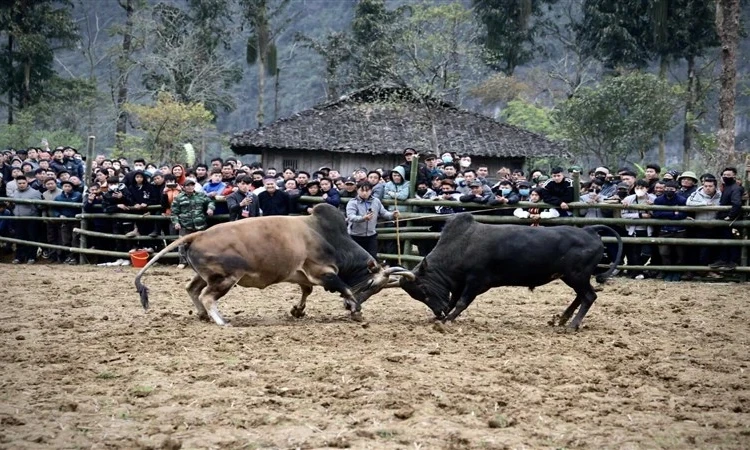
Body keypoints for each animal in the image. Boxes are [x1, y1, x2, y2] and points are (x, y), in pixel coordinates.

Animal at [134, 202, 412, 326]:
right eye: (372, 285)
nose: (349, 307)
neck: (328, 237)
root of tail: (197, 234)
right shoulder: (324, 272)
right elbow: (343, 287)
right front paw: (356, 309)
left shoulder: (302, 275)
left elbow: (306, 291)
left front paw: (298, 310)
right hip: (226, 278)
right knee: (207, 296)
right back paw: (222, 321)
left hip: (205, 275)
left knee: (192, 289)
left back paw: (203, 315)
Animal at [402, 213, 624, 328]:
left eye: (423, 289)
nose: (437, 311)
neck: (461, 245)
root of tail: (589, 230)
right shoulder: (457, 284)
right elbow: (453, 301)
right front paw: (440, 317)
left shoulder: (476, 281)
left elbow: (461, 302)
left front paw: (447, 319)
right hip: (573, 277)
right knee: (581, 296)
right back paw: (562, 319)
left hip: (577, 275)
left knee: (589, 296)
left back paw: (572, 324)